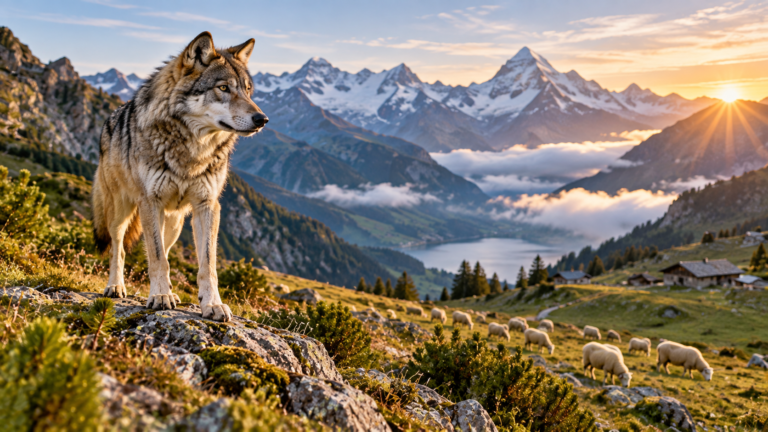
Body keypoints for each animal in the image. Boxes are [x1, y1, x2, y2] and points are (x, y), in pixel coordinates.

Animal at [91, 32, 268, 322]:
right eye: (223, 88)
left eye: (248, 90)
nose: (262, 119)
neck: (192, 152)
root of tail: (110, 118)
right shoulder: (150, 202)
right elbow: (156, 257)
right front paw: (160, 297)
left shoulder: (207, 206)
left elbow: (207, 265)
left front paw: (212, 304)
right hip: (120, 211)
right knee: (119, 248)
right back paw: (116, 287)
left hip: (173, 222)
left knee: (166, 247)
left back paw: (171, 292)